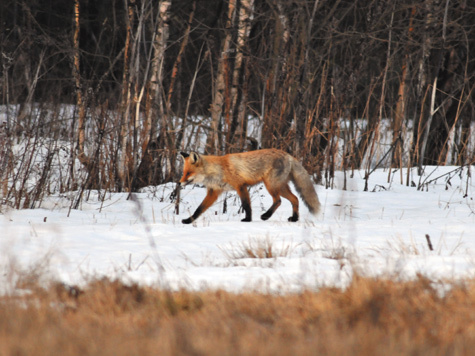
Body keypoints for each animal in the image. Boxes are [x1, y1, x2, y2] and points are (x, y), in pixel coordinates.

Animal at [180, 149, 322, 224]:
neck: (218, 170)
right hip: (280, 187)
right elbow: (199, 209)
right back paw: (294, 218)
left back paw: (266, 216)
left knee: (278, 201)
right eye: (183, 172)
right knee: (295, 199)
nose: (179, 183)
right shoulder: (213, 192)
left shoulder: (240, 186)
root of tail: (287, 154)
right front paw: (188, 220)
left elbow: (246, 205)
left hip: (271, 185)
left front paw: (248, 219)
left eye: (188, 173)